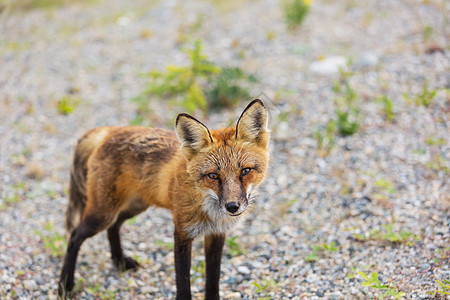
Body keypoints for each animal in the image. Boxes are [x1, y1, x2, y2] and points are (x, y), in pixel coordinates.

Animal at [59, 99, 270, 298]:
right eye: (213, 176)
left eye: (245, 171)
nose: (232, 207)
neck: (210, 212)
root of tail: (110, 130)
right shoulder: (182, 232)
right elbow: (183, 281)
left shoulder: (216, 234)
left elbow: (213, 280)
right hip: (103, 214)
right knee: (75, 236)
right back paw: (65, 285)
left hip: (133, 207)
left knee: (113, 228)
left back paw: (120, 263)